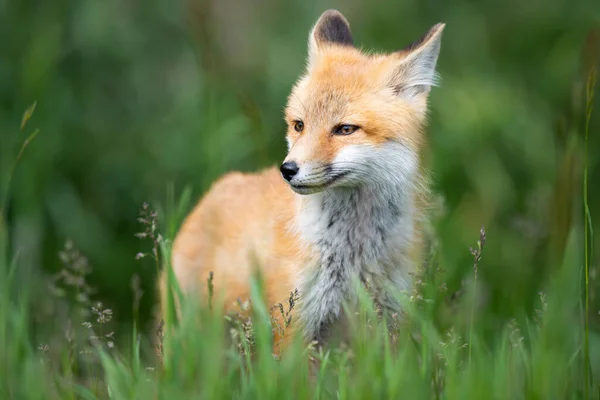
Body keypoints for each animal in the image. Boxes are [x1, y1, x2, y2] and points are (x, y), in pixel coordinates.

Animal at [161, 8, 446, 346]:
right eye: (299, 125)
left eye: (345, 129)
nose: (287, 170)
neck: (353, 253)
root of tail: (216, 189)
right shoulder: (292, 324)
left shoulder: (389, 321)